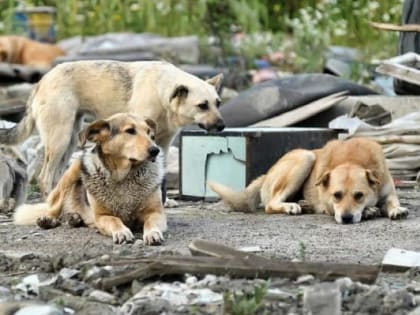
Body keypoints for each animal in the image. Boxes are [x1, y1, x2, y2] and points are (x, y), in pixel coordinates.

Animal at [12, 112, 166, 246]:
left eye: (150, 134)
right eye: (130, 131)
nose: (155, 150)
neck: (123, 177)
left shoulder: (156, 212)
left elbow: (151, 223)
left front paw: (153, 233)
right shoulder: (102, 216)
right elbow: (114, 220)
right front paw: (121, 232)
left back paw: (74, 218)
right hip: (73, 169)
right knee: (55, 205)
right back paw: (49, 219)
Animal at [208, 138, 408, 225]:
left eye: (359, 195)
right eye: (336, 195)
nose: (346, 218)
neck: (353, 160)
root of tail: (267, 174)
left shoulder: (387, 191)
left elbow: (391, 201)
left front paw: (395, 209)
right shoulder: (329, 205)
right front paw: (369, 211)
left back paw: (305, 205)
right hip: (305, 157)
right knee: (270, 204)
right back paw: (291, 206)